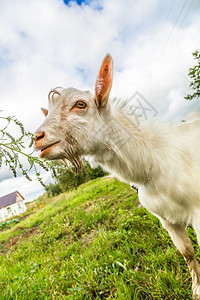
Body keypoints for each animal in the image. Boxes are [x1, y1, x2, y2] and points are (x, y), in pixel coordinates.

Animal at [35, 54, 200, 298]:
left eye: (80, 104)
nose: (38, 137)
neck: (154, 160)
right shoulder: (166, 219)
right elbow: (187, 253)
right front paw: (196, 289)